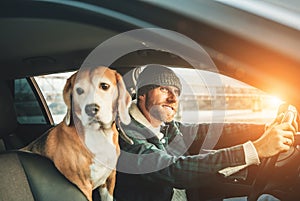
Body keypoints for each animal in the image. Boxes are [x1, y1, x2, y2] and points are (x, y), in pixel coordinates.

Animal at [21, 66, 132, 201]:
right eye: (79, 90)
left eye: (104, 86)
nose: (90, 109)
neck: (100, 135)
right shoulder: (83, 186)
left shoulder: (109, 179)